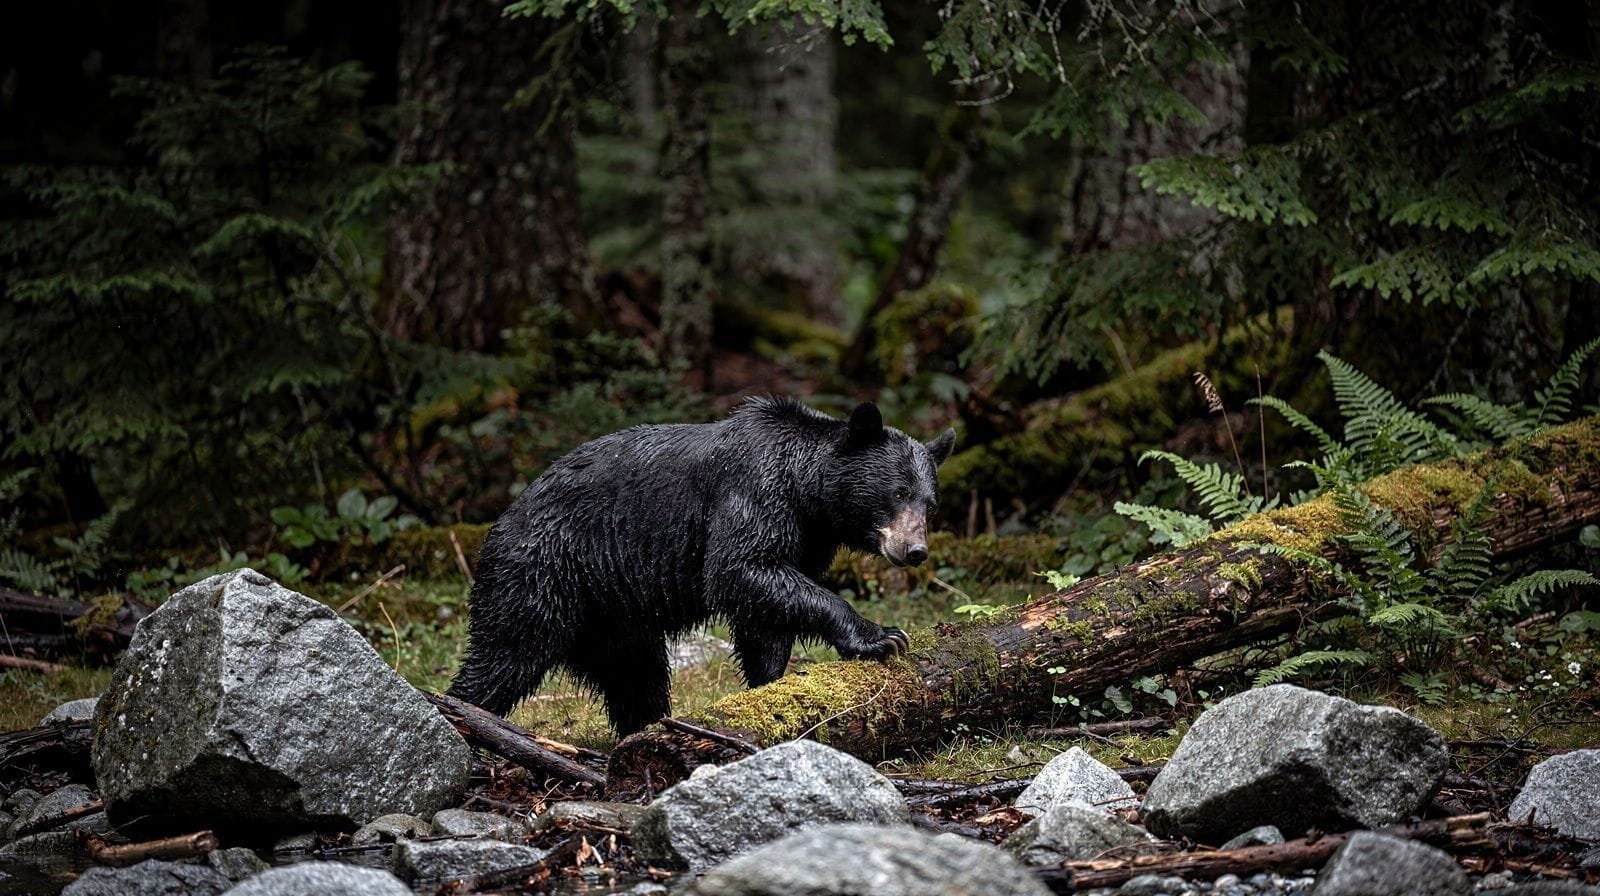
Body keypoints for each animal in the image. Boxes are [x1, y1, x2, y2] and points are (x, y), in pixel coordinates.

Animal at [447, 398, 956, 735]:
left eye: (929, 504)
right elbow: (740, 569)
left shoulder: (806, 536)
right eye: (896, 493)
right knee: (504, 655)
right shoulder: (753, 495)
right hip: (541, 573)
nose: (914, 550)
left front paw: (768, 687)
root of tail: (499, 525)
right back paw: (464, 719)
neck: (806, 491)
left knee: (637, 678)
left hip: (613, 614)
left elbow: (768, 613)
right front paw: (880, 636)